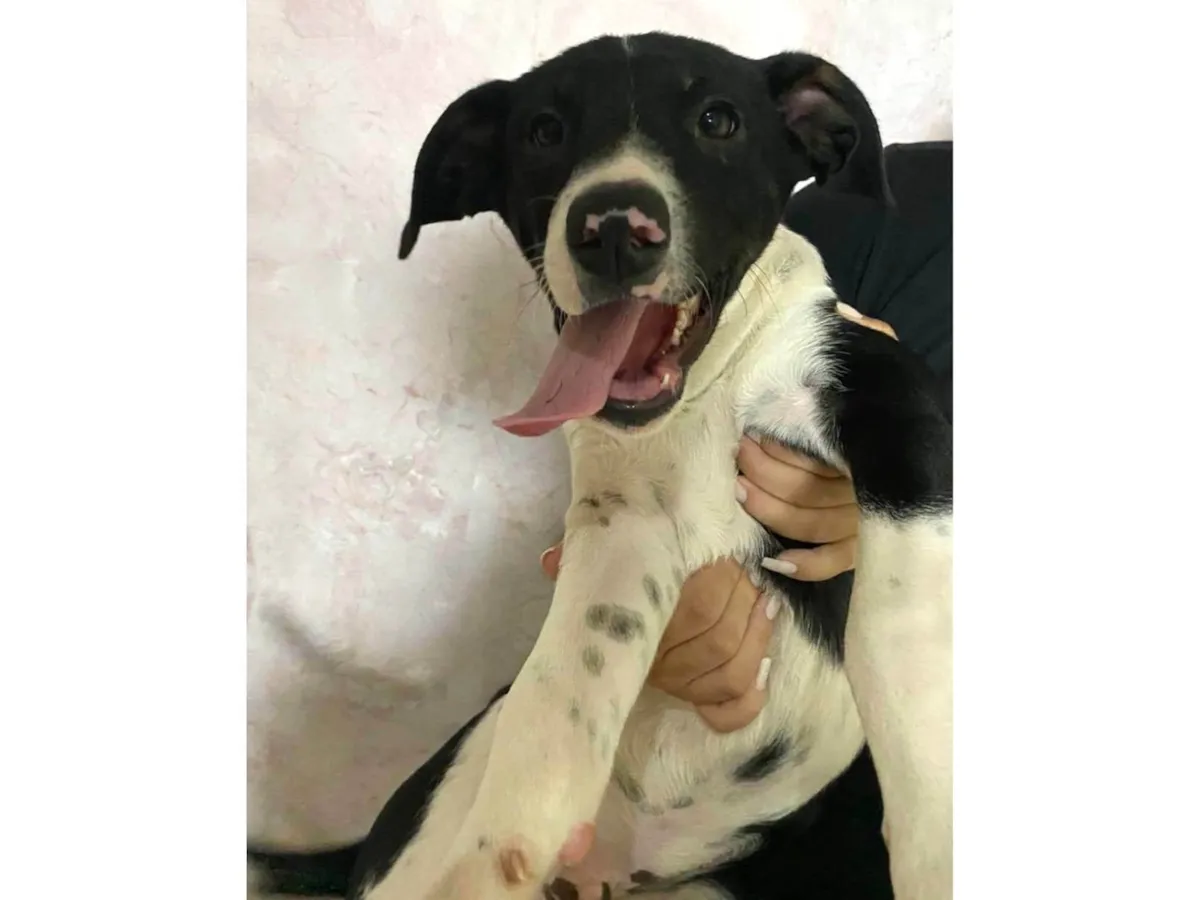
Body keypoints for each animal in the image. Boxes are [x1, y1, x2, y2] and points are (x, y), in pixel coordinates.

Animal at [250, 32, 952, 900]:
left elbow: (897, 626)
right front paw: (499, 849)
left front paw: (936, 841)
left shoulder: (890, 395)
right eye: (545, 131)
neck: (702, 397)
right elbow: (564, 682)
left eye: (718, 120)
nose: (614, 228)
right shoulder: (624, 526)